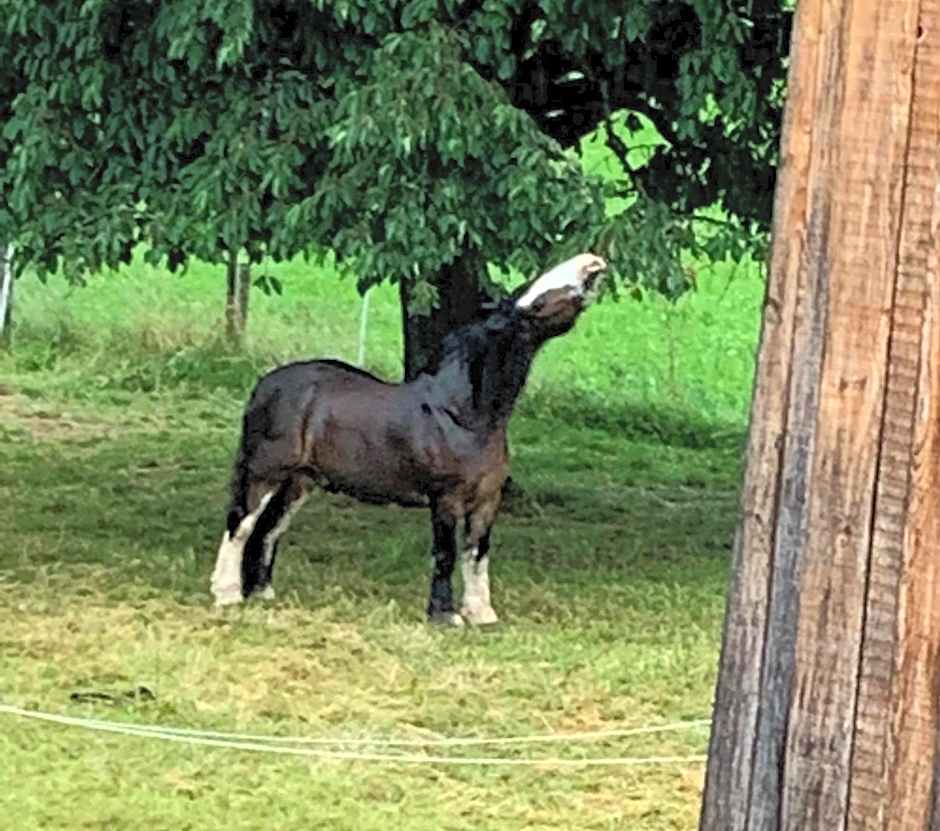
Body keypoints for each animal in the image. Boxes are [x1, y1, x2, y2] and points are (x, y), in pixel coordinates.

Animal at [209, 252, 608, 625]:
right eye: (535, 298)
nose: (592, 263)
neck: (463, 415)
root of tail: (265, 384)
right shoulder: (446, 498)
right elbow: (446, 554)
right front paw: (445, 616)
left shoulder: (487, 500)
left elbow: (477, 554)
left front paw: (481, 614)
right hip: (266, 474)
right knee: (241, 525)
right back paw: (227, 594)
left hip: (299, 481)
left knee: (269, 530)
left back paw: (261, 593)